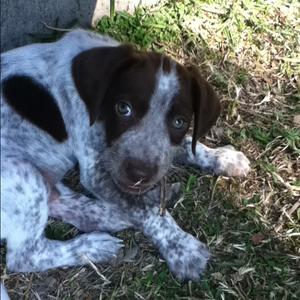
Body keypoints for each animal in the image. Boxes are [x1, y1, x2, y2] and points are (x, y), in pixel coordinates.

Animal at [0, 29, 251, 290]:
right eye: (123, 108)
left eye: (179, 122)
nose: (140, 175)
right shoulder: (96, 171)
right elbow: (146, 213)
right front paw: (182, 249)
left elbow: (186, 147)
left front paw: (222, 157)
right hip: (22, 173)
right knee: (25, 256)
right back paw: (93, 246)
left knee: (66, 203)